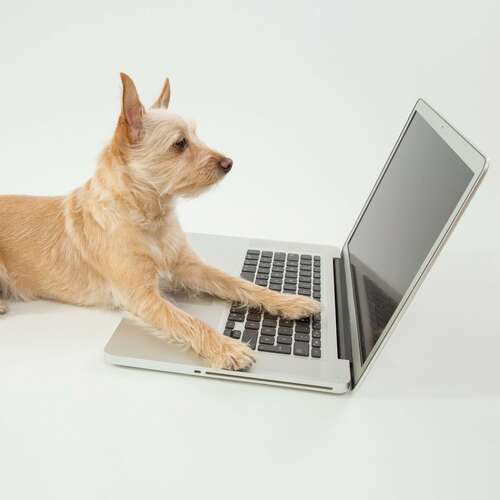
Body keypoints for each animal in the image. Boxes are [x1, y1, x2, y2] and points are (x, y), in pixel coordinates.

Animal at [0, 73, 320, 370]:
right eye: (179, 144)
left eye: (196, 135)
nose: (229, 163)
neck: (150, 217)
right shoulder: (142, 297)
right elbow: (188, 321)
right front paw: (226, 347)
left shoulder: (190, 268)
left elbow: (240, 283)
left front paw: (288, 300)